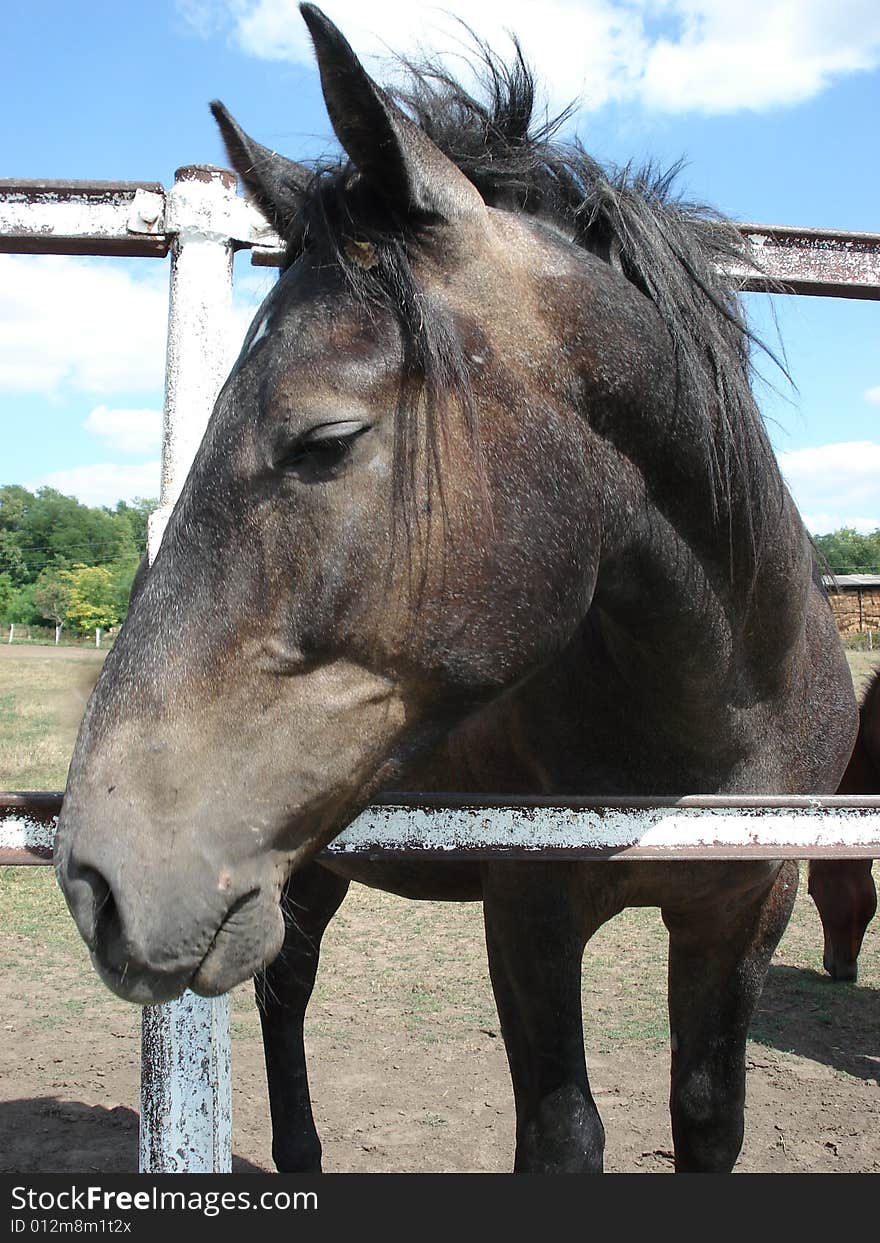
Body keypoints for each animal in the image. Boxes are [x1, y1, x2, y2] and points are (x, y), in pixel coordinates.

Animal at [51, 4, 855, 1168]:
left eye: (324, 439)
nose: (96, 878)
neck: (716, 720)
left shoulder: (747, 905)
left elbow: (708, 1116)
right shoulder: (526, 907)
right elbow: (562, 1132)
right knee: (289, 987)